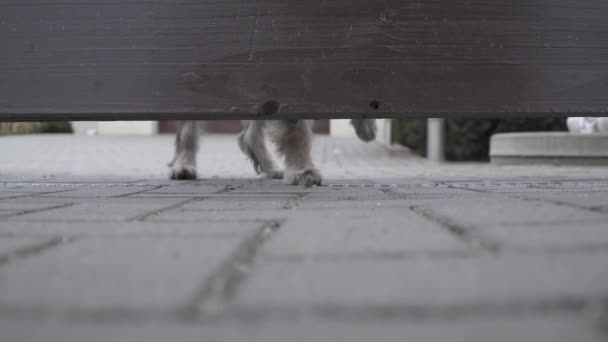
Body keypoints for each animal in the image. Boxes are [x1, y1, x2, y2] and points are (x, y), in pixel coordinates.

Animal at [167, 117, 376, 187]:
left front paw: (365, 123)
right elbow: (295, 129)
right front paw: (301, 170)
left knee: (249, 135)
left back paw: (272, 168)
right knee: (187, 129)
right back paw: (183, 165)